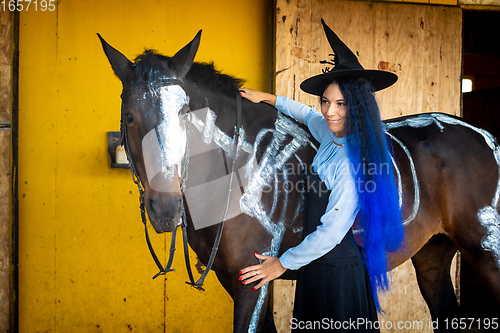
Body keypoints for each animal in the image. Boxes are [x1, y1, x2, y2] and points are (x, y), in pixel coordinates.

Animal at [98, 29, 500, 330]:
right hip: (433, 256)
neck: (240, 170)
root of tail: (486, 136)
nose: (165, 208)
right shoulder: (235, 279)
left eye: (183, 111)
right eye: (129, 116)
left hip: (487, 252)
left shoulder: (252, 282)